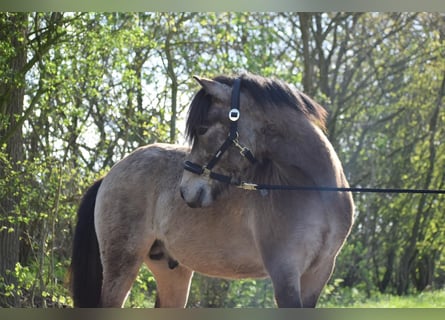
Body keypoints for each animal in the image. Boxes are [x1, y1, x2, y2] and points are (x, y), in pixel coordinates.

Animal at [69, 72, 354, 308]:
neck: (315, 192)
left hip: (172, 272)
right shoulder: (284, 272)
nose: (185, 191)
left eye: (203, 129)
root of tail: (110, 174)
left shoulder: (318, 274)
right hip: (122, 264)